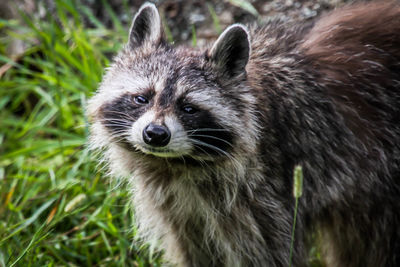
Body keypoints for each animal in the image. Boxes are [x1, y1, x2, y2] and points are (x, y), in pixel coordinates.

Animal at [87, 2, 400, 267]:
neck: (179, 165)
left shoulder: (267, 196)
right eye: (142, 98)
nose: (155, 134)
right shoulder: (181, 210)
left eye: (189, 108)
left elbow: (267, 256)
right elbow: (196, 252)